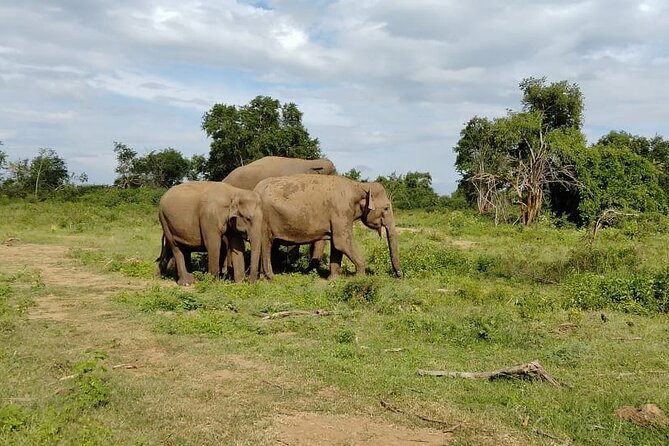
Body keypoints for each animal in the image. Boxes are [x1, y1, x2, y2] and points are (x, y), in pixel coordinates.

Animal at [254, 174, 402, 278]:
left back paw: (263, 277)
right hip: (264, 220)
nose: (399, 275)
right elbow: (342, 242)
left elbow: (337, 246)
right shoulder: (341, 211)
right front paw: (360, 277)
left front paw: (334, 279)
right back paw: (269, 277)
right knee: (266, 245)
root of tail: (256, 188)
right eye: (386, 208)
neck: (359, 185)